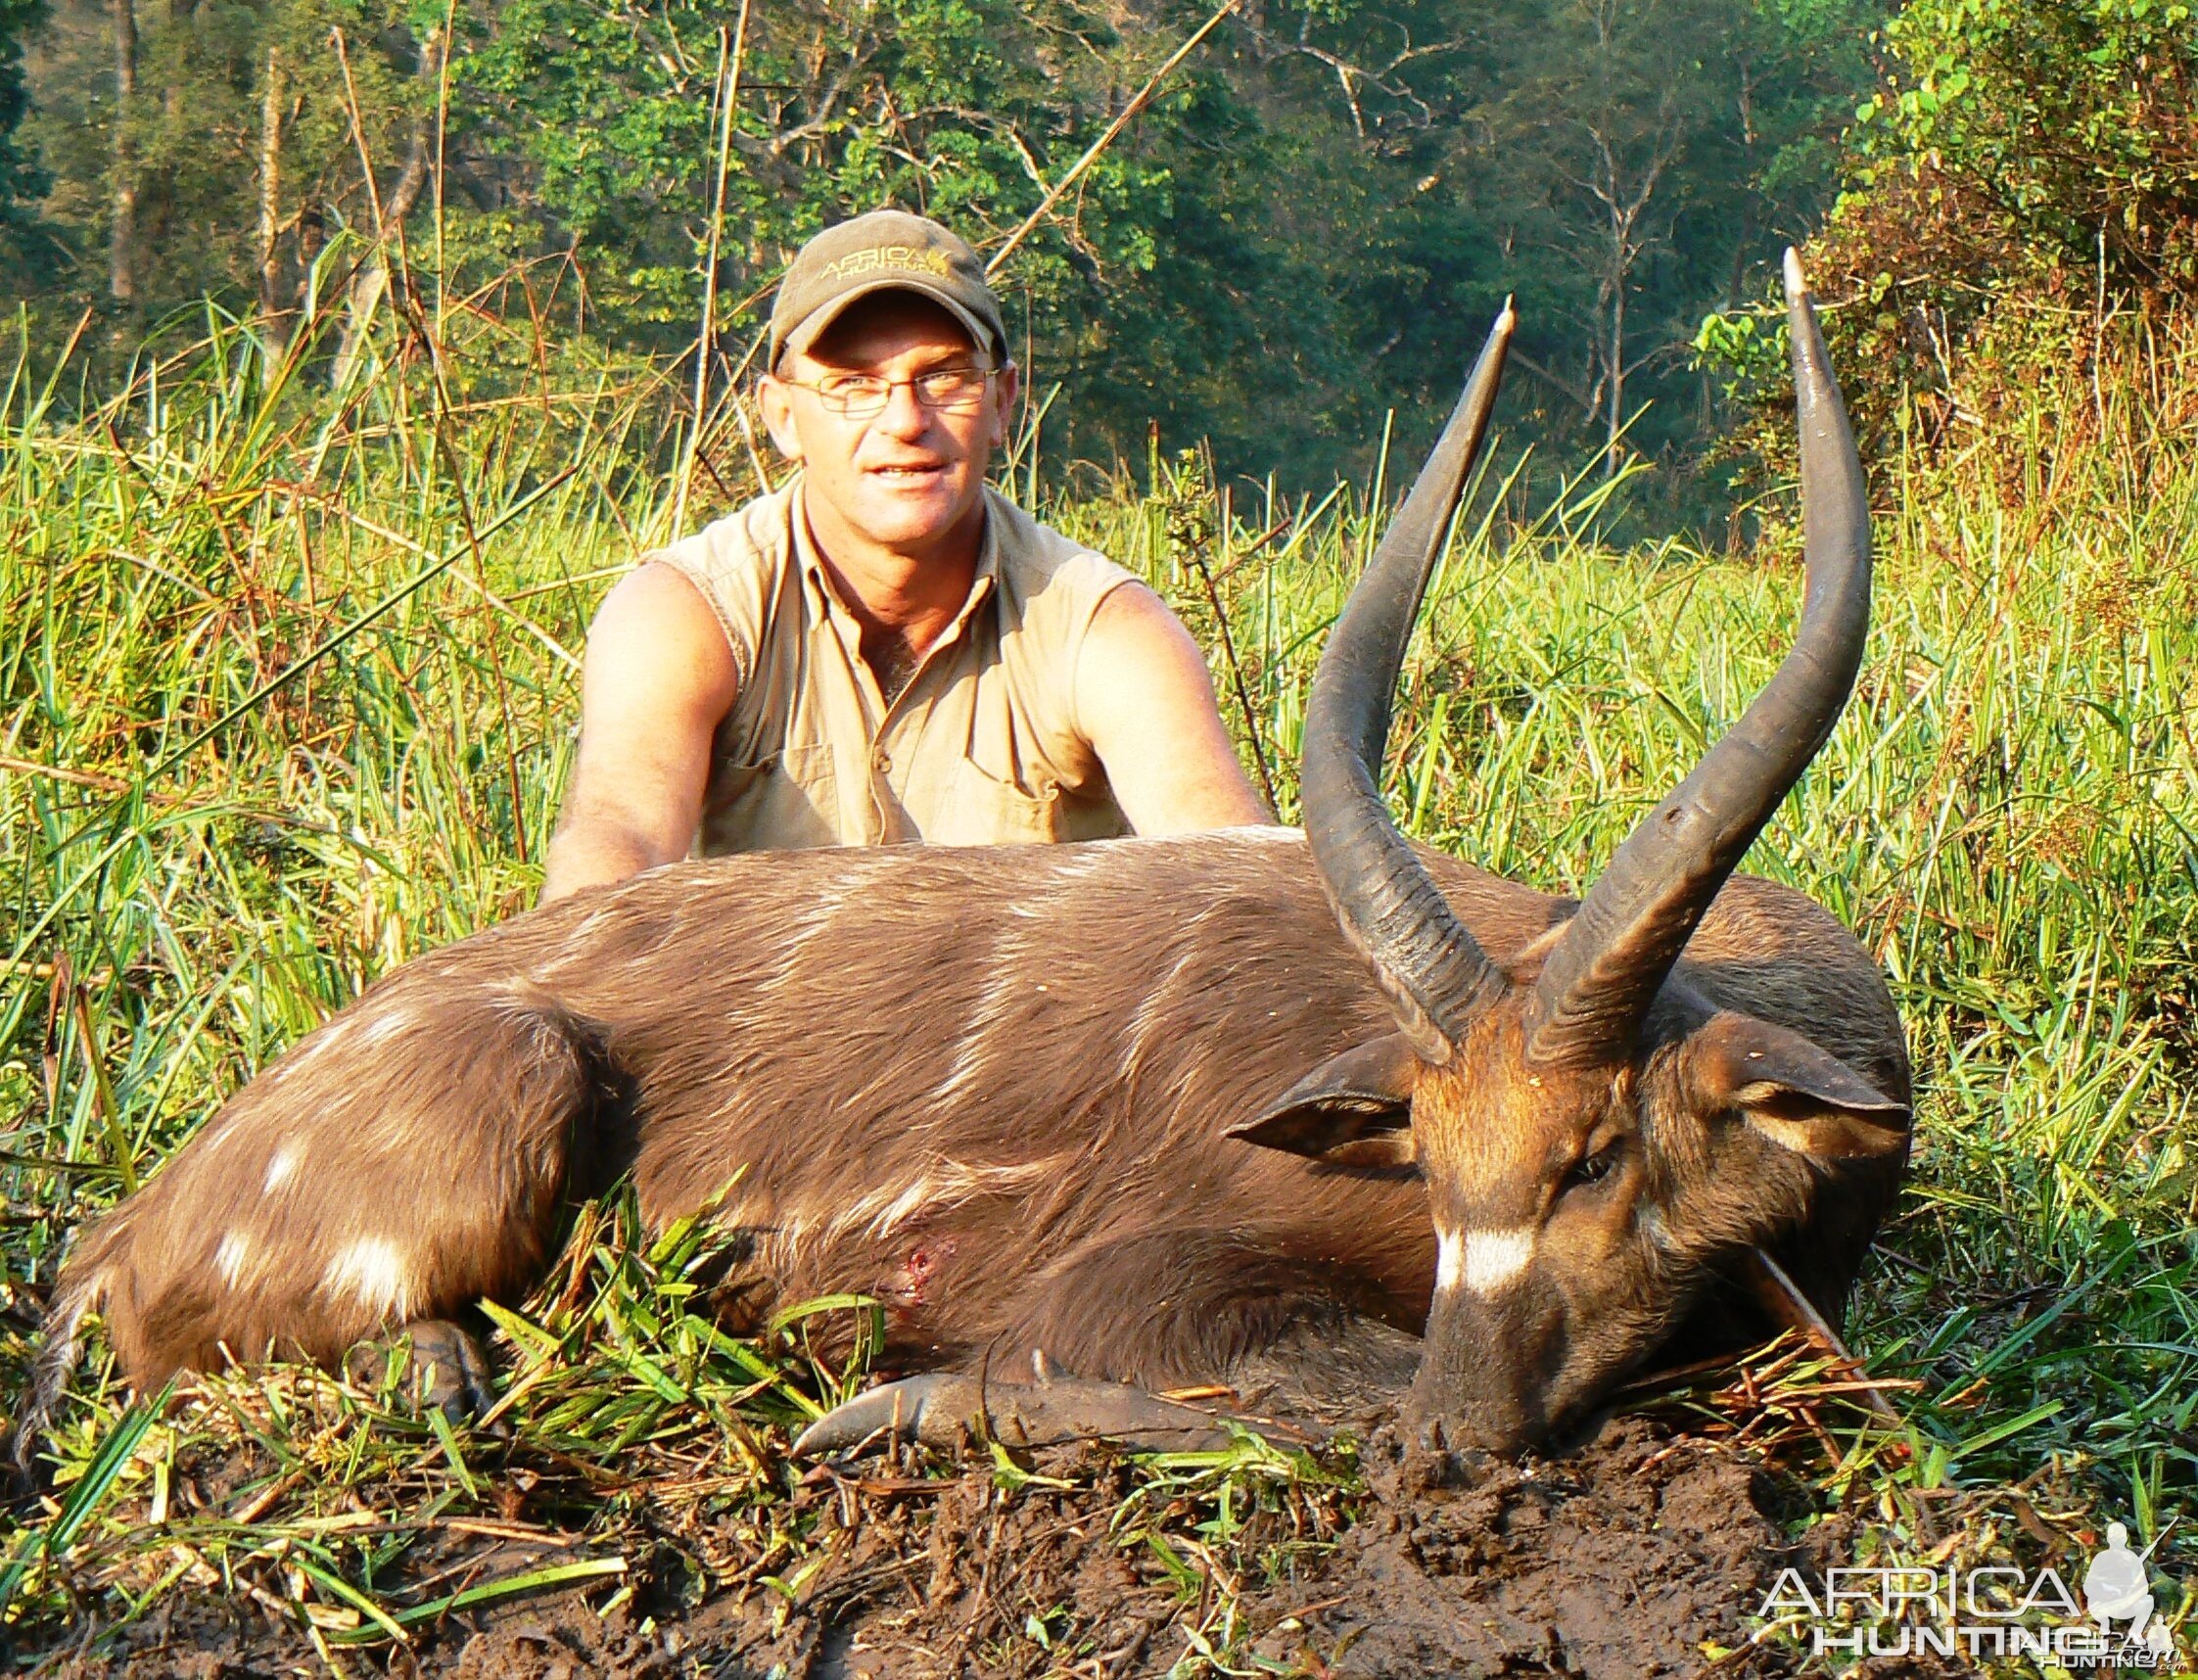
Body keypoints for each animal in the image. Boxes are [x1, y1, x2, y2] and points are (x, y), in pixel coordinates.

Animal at [17, 256, 1907, 1460]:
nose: (1462, 1436)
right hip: (510, 1086)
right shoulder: (1140, 1278)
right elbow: (1287, 1395)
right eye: (1435, 1163)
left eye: (1594, 1156)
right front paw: (895, 1404)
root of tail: (120, 1227)